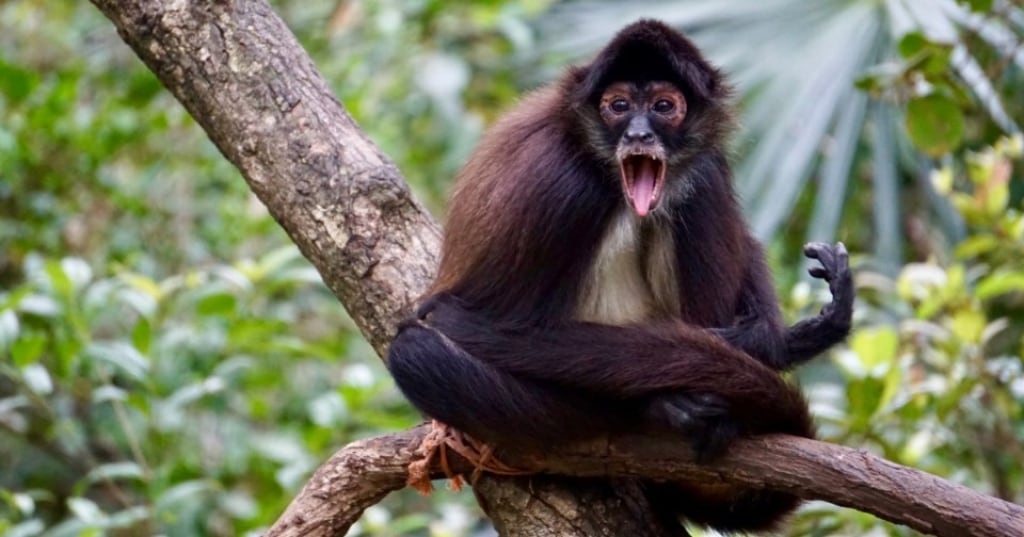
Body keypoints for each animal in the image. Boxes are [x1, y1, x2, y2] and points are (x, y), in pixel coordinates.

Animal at [386, 19, 853, 534]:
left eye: (664, 107)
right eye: (619, 106)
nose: (639, 133)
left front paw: (794, 336)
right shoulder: (565, 187)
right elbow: (464, 322)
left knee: (703, 177)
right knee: (415, 351)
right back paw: (660, 410)